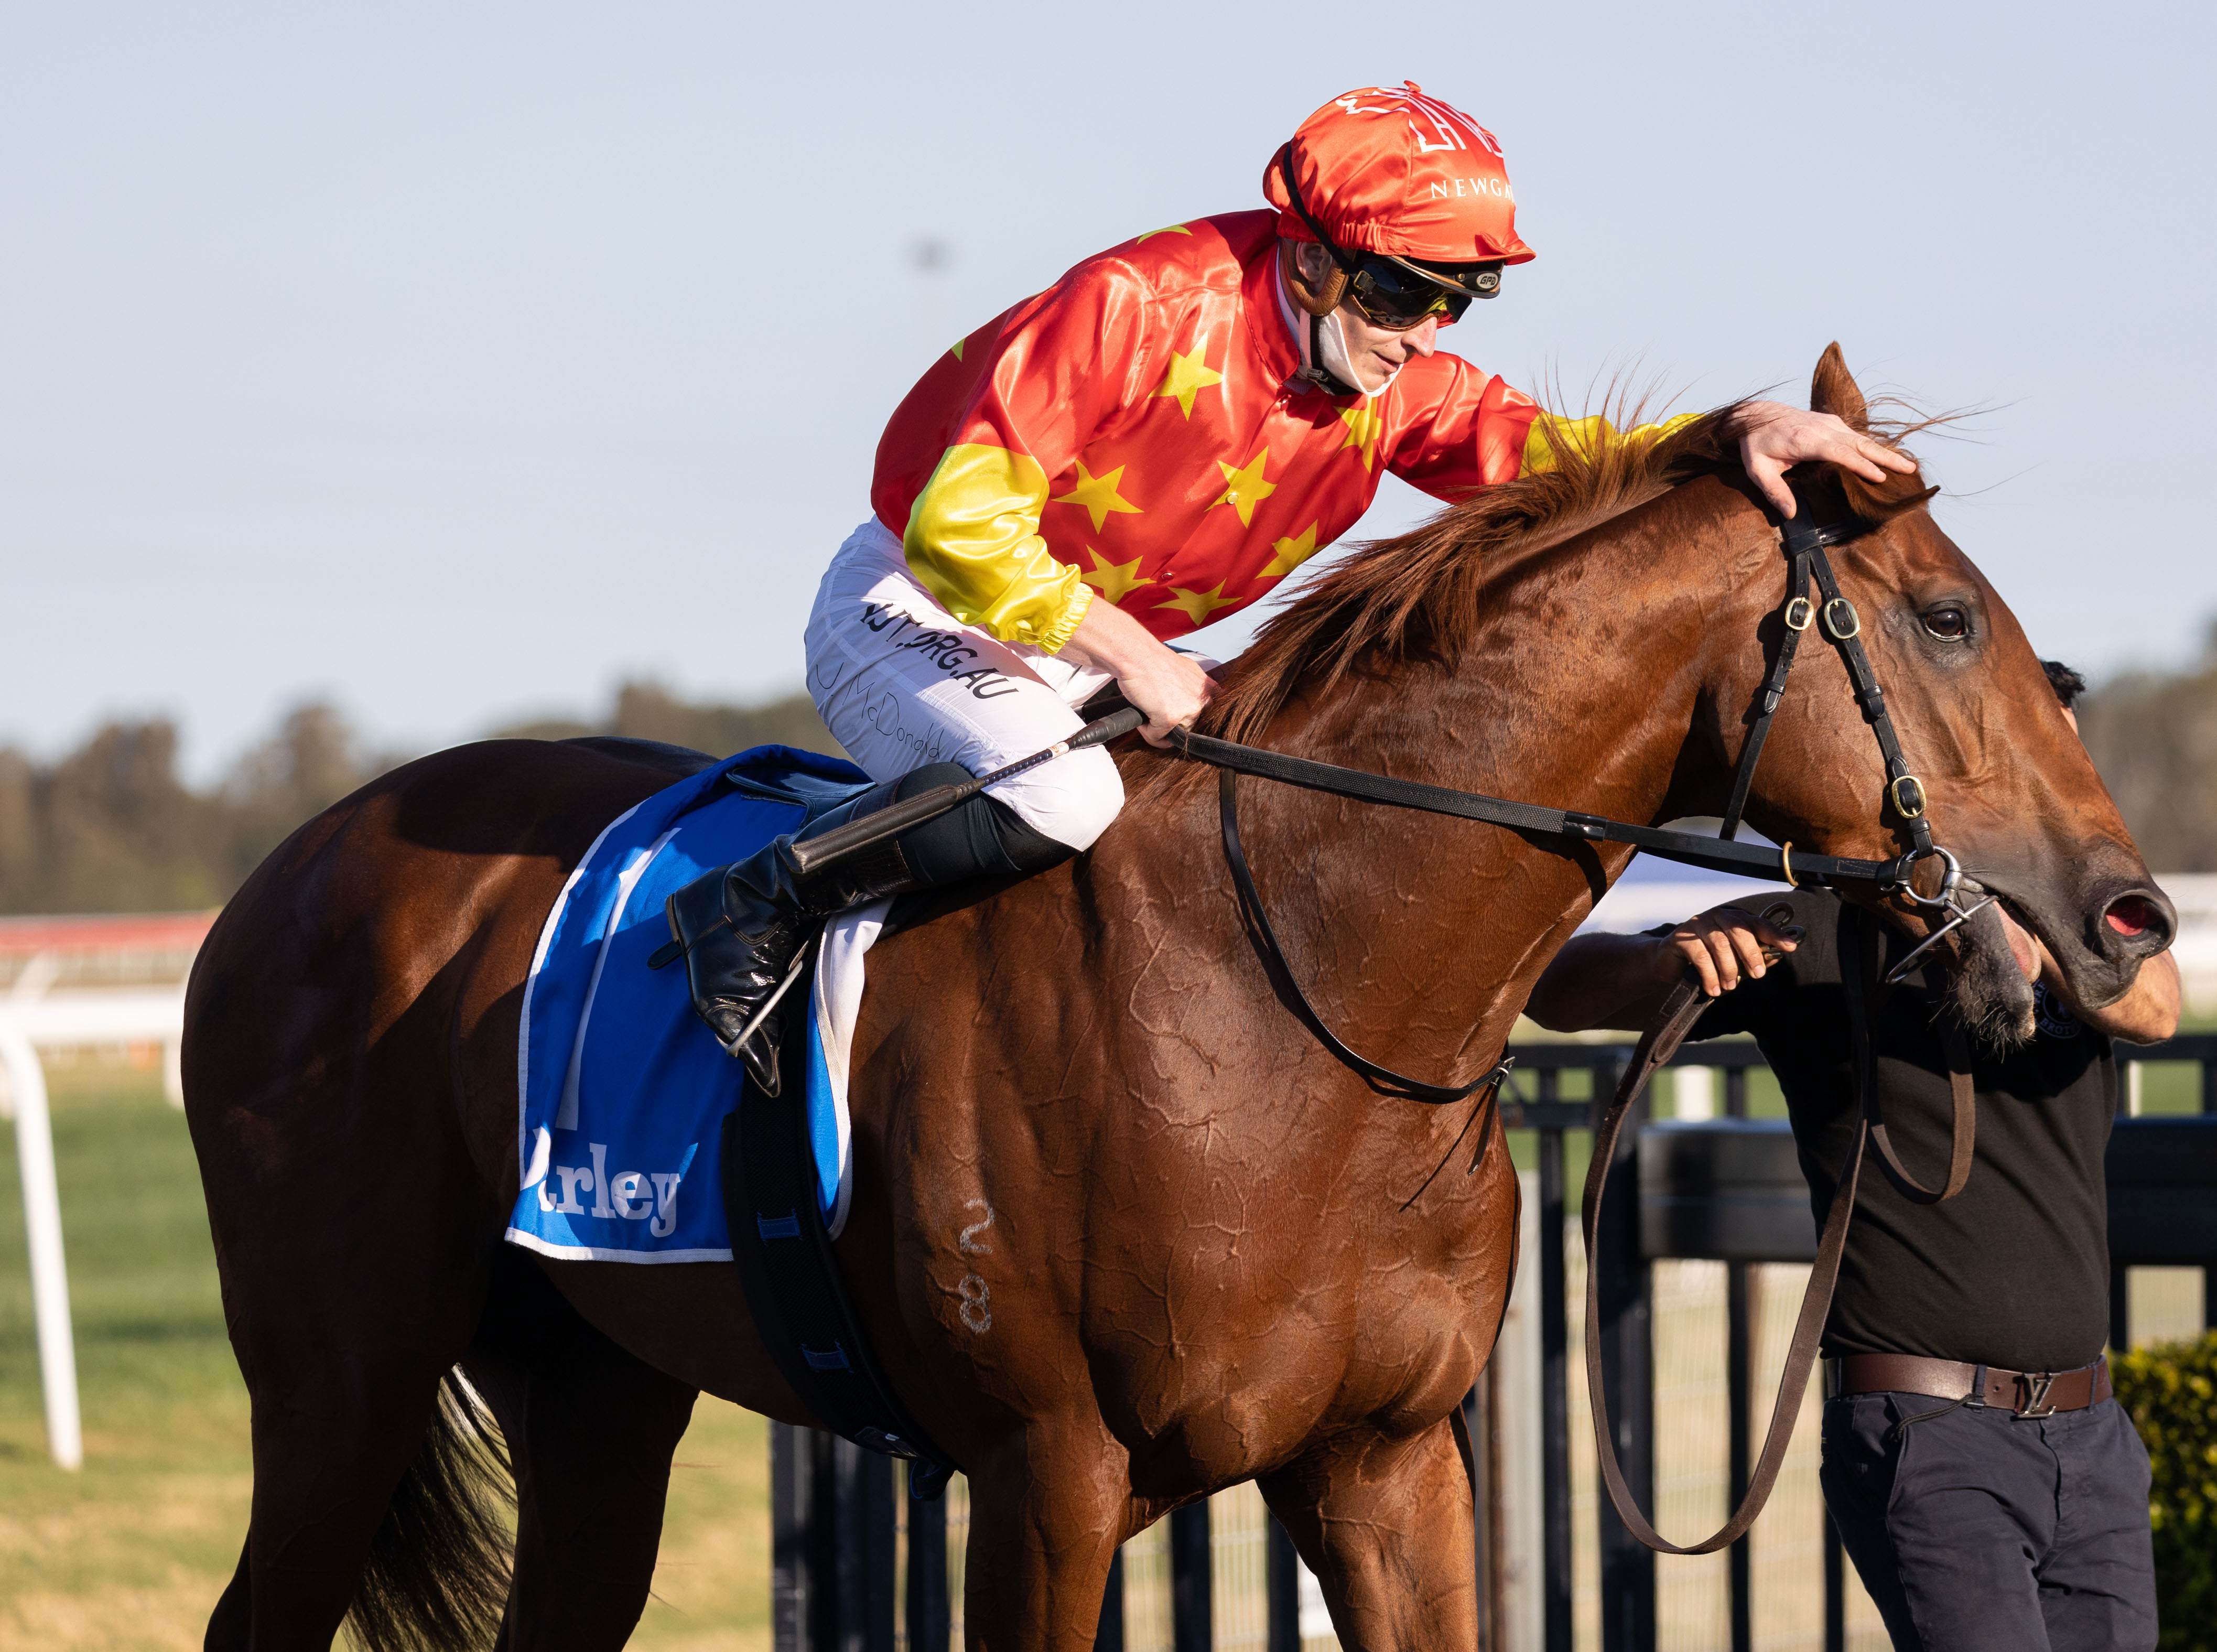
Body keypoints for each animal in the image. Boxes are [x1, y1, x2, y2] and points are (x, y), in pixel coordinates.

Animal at [186, 350, 2164, 1649]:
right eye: (1939, 618)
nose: (2127, 917)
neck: (1293, 1013)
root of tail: (294, 865)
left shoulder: (1384, 1466)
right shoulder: (1043, 1479)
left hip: (594, 1386)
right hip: (341, 1376)